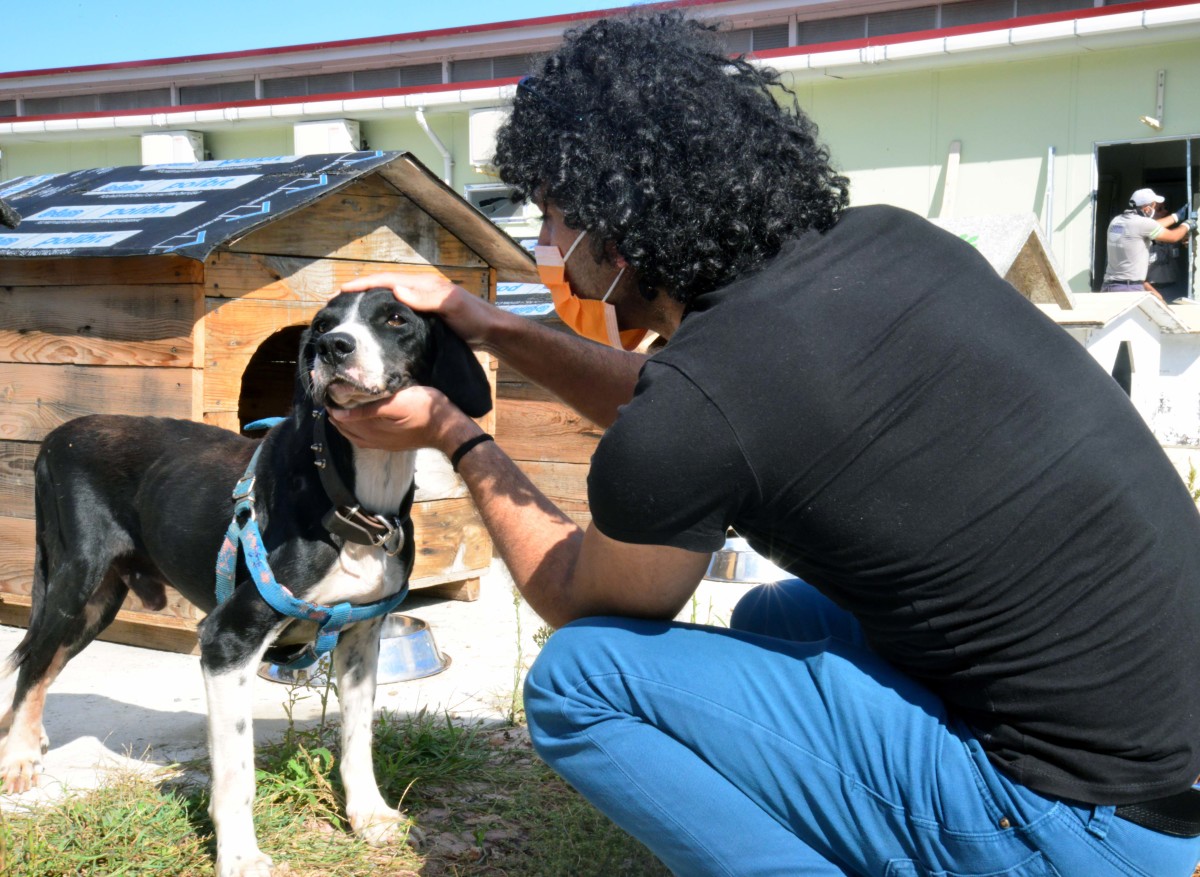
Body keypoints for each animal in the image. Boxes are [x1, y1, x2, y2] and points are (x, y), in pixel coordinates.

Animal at [0, 288, 492, 877]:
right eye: (321, 325)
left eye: (396, 318)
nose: (333, 346)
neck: (353, 500)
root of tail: (57, 436)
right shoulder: (227, 643)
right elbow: (236, 773)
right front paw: (239, 855)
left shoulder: (360, 638)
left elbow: (358, 740)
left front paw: (368, 816)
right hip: (75, 585)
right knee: (33, 661)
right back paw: (19, 756)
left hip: (99, 603)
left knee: (44, 663)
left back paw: (23, 740)